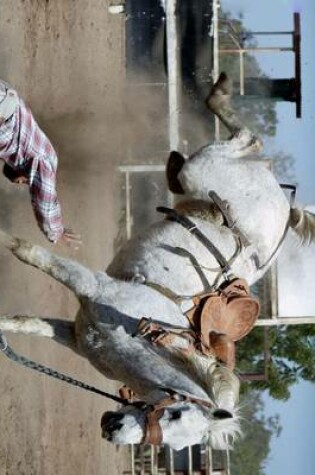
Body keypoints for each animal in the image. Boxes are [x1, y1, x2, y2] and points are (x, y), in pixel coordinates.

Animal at [0, 73, 315, 450]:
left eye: (173, 445)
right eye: (176, 413)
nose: (114, 429)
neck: (136, 332)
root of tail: (287, 208)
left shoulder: (74, 333)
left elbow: (25, 323)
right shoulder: (92, 285)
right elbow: (28, 252)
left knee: (248, 141)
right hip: (202, 169)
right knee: (248, 139)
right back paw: (219, 92)